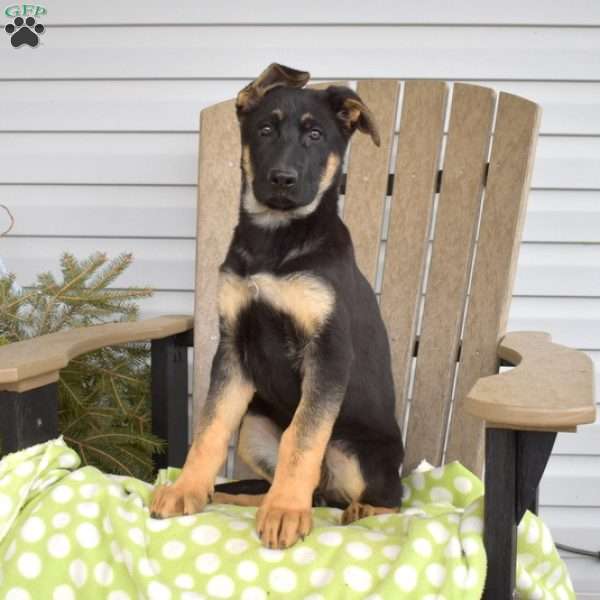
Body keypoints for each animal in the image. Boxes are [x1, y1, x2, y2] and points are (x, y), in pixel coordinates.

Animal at [150, 64, 404, 548]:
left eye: (316, 135)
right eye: (265, 129)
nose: (283, 179)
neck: (275, 239)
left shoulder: (329, 351)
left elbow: (303, 436)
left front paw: (286, 511)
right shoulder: (233, 345)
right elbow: (210, 428)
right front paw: (187, 488)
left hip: (358, 453)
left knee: (387, 500)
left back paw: (354, 508)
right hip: (253, 429)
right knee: (306, 487)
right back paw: (235, 494)